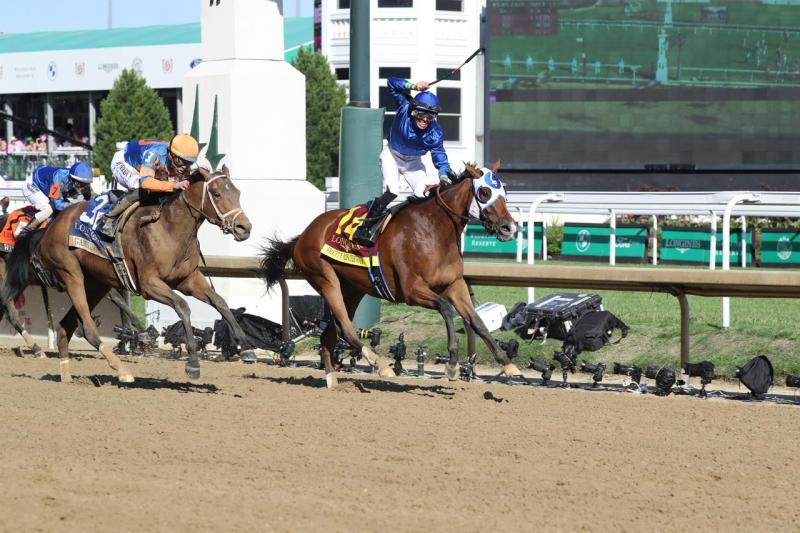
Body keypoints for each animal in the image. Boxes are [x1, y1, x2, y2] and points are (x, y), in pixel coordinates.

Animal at [0, 166, 253, 382]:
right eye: (217, 194)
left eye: (238, 193)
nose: (245, 228)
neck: (169, 228)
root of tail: (50, 228)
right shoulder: (150, 284)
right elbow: (182, 306)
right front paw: (192, 362)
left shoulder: (188, 280)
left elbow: (220, 302)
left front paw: (245, 346)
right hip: (70, 275)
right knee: (86, 328)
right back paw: (121, 370)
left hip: (96, 284)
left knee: (64, 327)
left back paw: (66, 375)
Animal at [262, 160, 520, 388]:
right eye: (485, 192)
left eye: (505, 191)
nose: (510, 227)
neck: (434, 230)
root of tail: (303, 235)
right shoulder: (412, 290)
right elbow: (446, 309)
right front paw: (453, 364)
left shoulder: (454, 284)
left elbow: (477, 321)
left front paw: (507, 364)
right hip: (324, 277)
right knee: (346, 328)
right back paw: (380, 364)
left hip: (352, 289)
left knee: (329, 335)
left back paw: (331, 380)